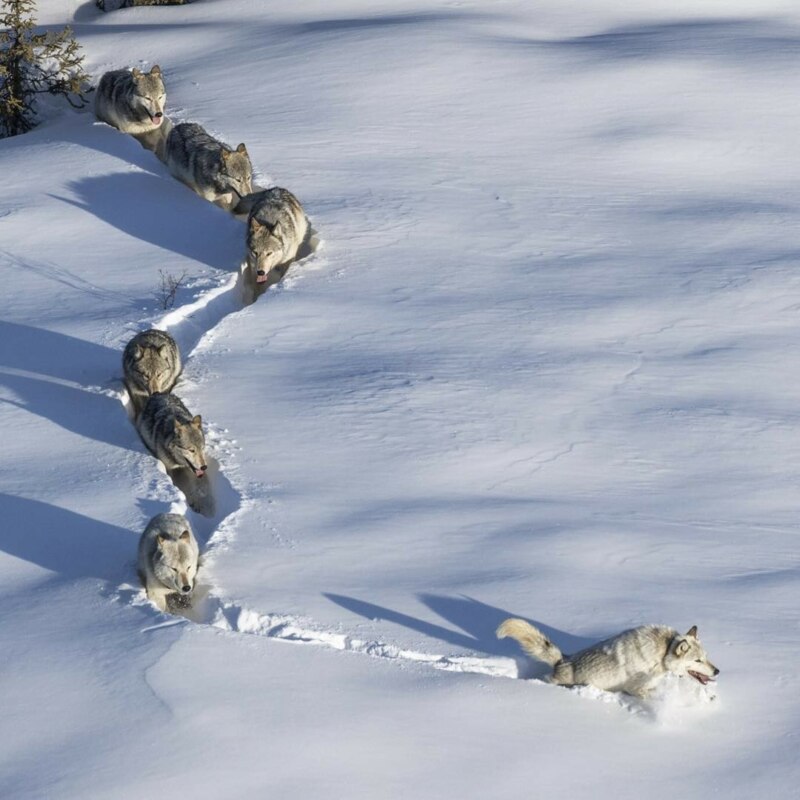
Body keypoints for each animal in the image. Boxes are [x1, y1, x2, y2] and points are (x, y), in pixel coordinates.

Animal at [497, 619, 719, 698]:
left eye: (706, 658)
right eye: (698, 661)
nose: (717, 671)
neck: (663, 653)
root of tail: (562, 660)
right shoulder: (635, 689)